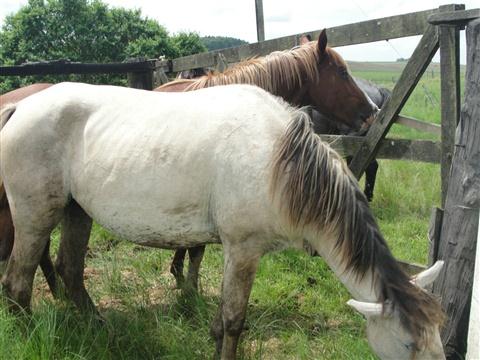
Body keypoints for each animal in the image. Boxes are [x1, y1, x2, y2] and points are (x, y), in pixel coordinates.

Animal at [0, 83, 444, 358]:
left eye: (438, 337)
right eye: (408, 345)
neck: (280, 164)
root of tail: (20, 106)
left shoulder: (237, 253)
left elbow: (219, 323)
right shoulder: (243, 249)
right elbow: (233, 321)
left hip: (77, 212)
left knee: (70, 271)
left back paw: (101, 331)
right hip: (35, 216)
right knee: (17, 283)